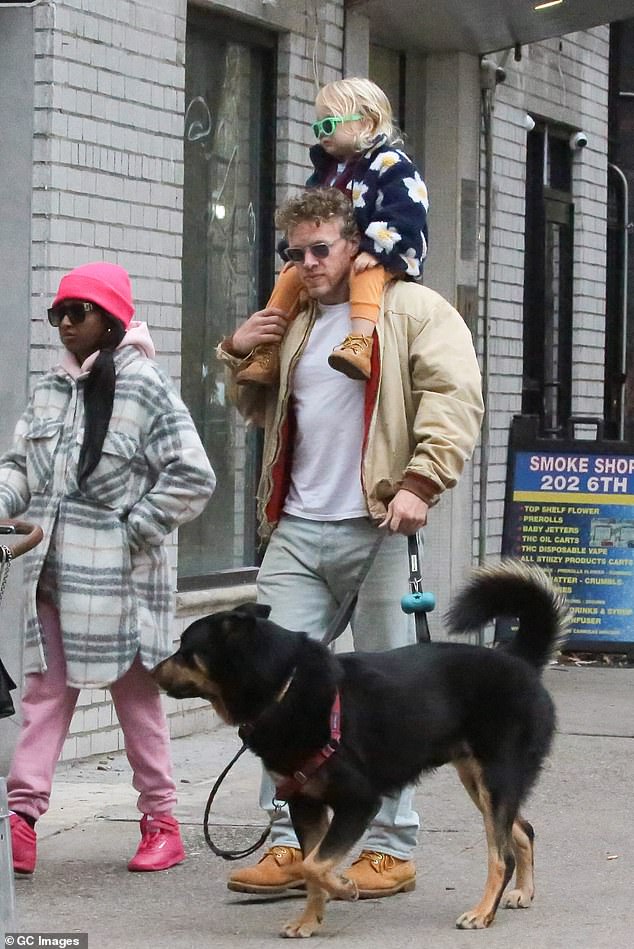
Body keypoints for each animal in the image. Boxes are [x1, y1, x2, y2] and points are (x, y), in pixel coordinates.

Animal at [154, 560, 568, 936]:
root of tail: (520, 661)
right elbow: (311, 866)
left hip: (495, 778)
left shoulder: (359, 801)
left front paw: (344, 887)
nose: (151, 672)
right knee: (523, 831)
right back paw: (522, 893)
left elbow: (314, 865)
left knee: (502, 855)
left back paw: (483, 912)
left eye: (185, 650)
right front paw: (310, 920)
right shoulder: (305, 804)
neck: (284, 687)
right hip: (482, 781)